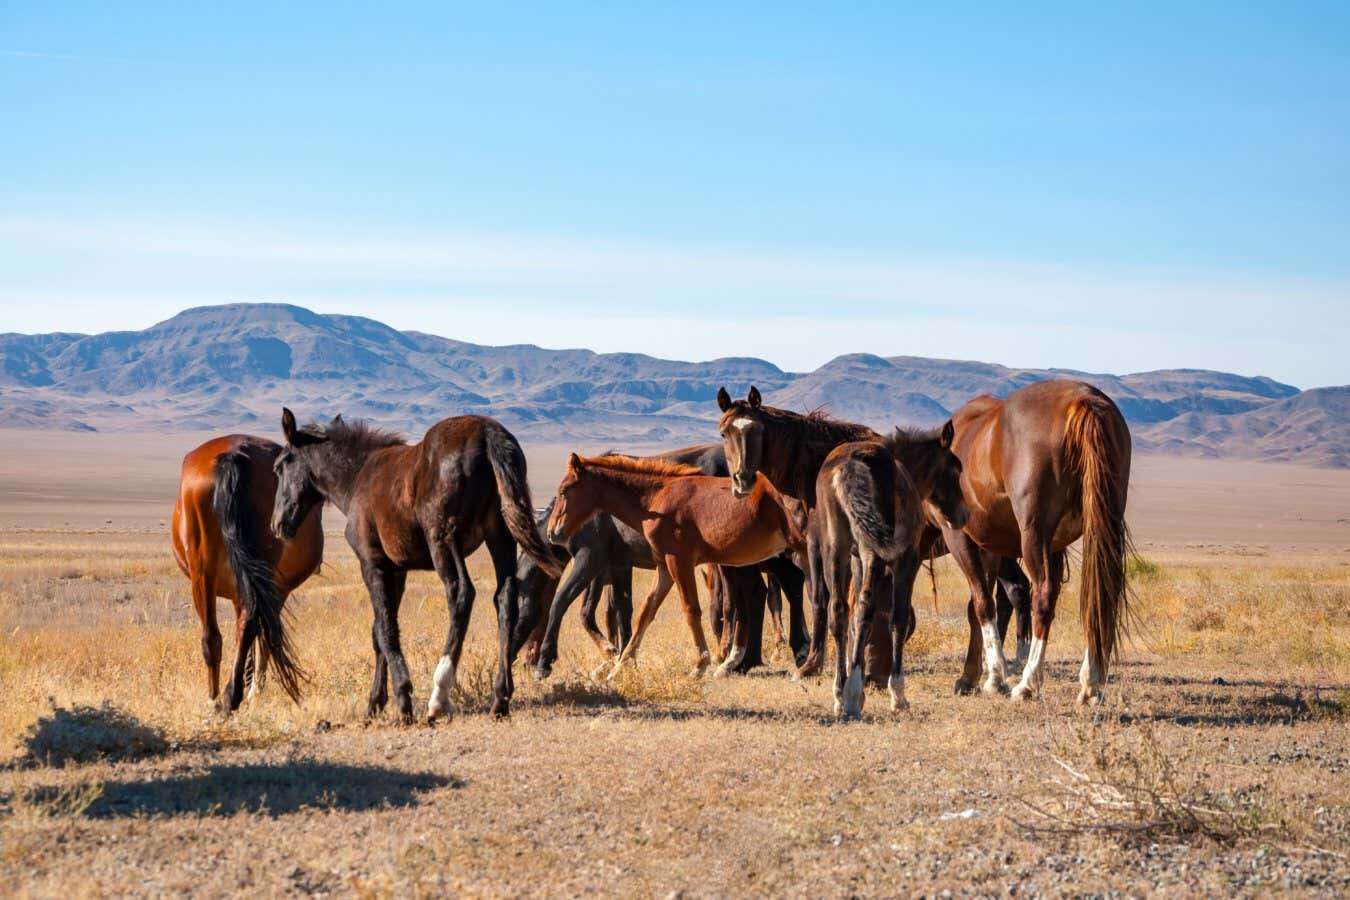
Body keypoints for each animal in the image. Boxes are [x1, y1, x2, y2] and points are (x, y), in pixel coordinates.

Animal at [171, 434, 321, 712]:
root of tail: (234, 454)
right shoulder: (271, 590)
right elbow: (265, 637)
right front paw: (253, 687)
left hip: (204, 573)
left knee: (215, 635)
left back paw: (219, 698)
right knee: (242, 628)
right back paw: (230, 696)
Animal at [545, 458, 804, 674]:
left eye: (563, 491)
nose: (552, 533)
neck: (656, 499)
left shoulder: (679, 561)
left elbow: (691, 609)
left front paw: (700, 665)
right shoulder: (664, 567)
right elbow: (646, 612)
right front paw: (619, 667)